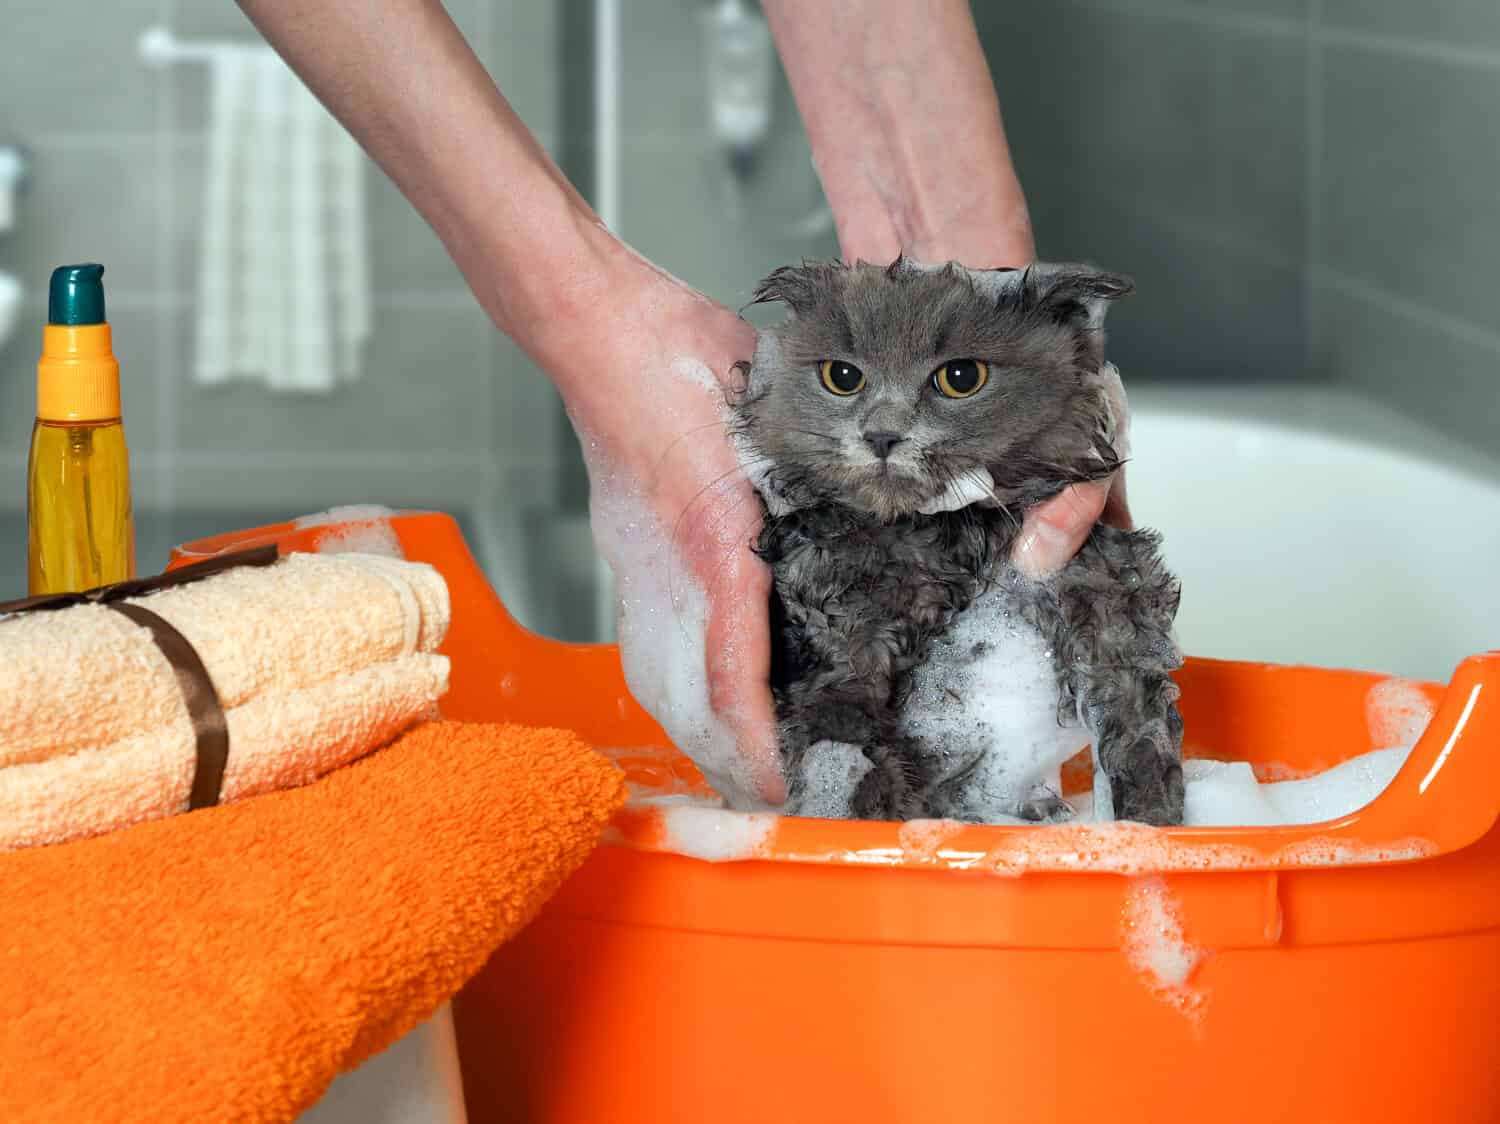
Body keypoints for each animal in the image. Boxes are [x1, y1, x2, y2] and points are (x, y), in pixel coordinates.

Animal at [735, 261, 1182, 822]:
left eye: (961, 378)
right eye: (842, 377)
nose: (882, 436)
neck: (941, 536)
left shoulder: (1100, 586)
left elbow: (1135, 716)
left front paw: (1148, 817)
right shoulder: (834, 637)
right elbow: (838, 727)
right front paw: (852, 813)